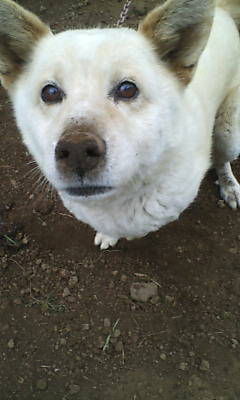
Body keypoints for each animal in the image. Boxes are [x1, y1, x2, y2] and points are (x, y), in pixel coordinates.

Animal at [0, 0, 240, 248]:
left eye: (127, 89)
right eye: (50, 93)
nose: (77, 150)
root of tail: (221, 10)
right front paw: (109, 235)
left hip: (228, 133)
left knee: (222, 160)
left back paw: (229, 186)